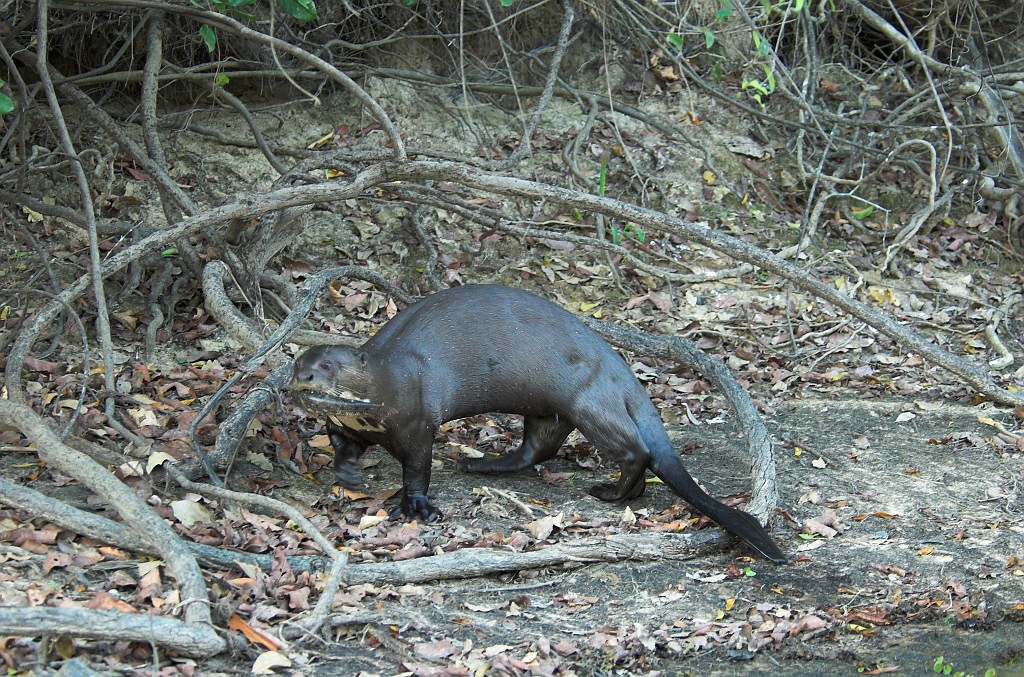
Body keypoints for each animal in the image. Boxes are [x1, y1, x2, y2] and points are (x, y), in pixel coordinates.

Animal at [292, 282, 786, 561]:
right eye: (298, 362)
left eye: (329, 366)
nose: (303, 377)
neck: (389, 383)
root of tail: (620, 368)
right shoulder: (352, 425)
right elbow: (343, 443)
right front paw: (348, 472)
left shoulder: (415, 421)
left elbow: (417, 467)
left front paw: (416, 506)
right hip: (545, 410)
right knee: (537, 448)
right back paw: (482, 464)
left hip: (587, 400)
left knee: (637, 451)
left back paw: (611, 492)